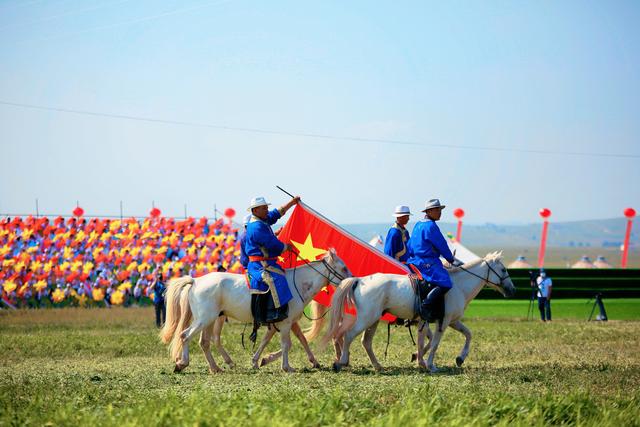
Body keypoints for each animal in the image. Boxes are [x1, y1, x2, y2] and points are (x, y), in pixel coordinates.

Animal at [159, 249, 350, 372]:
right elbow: (287, 344)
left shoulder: (277, 324)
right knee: (185, 335)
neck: (297, 284)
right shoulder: (286, 323)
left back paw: (216, 367)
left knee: (205, 342)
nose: (351, 281)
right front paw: (287, 367)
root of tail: (195, 281)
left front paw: (259, 360)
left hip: (210, 320)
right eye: (343, 268)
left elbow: (267, 341)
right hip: (204, 319)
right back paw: (182, 363)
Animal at [322, 252, 516, 372]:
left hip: (373, 320)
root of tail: (360, 280)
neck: (458, 286)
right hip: (366, 319)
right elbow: (435, 343)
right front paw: (430, 365)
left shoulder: (451, 321)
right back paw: (342, 362)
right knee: (348, 335)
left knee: (366, 342)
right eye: (503, 269)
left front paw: (458, 358)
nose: (512, 290)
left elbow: (467, 334)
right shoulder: (443, 322)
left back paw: (377, 366)